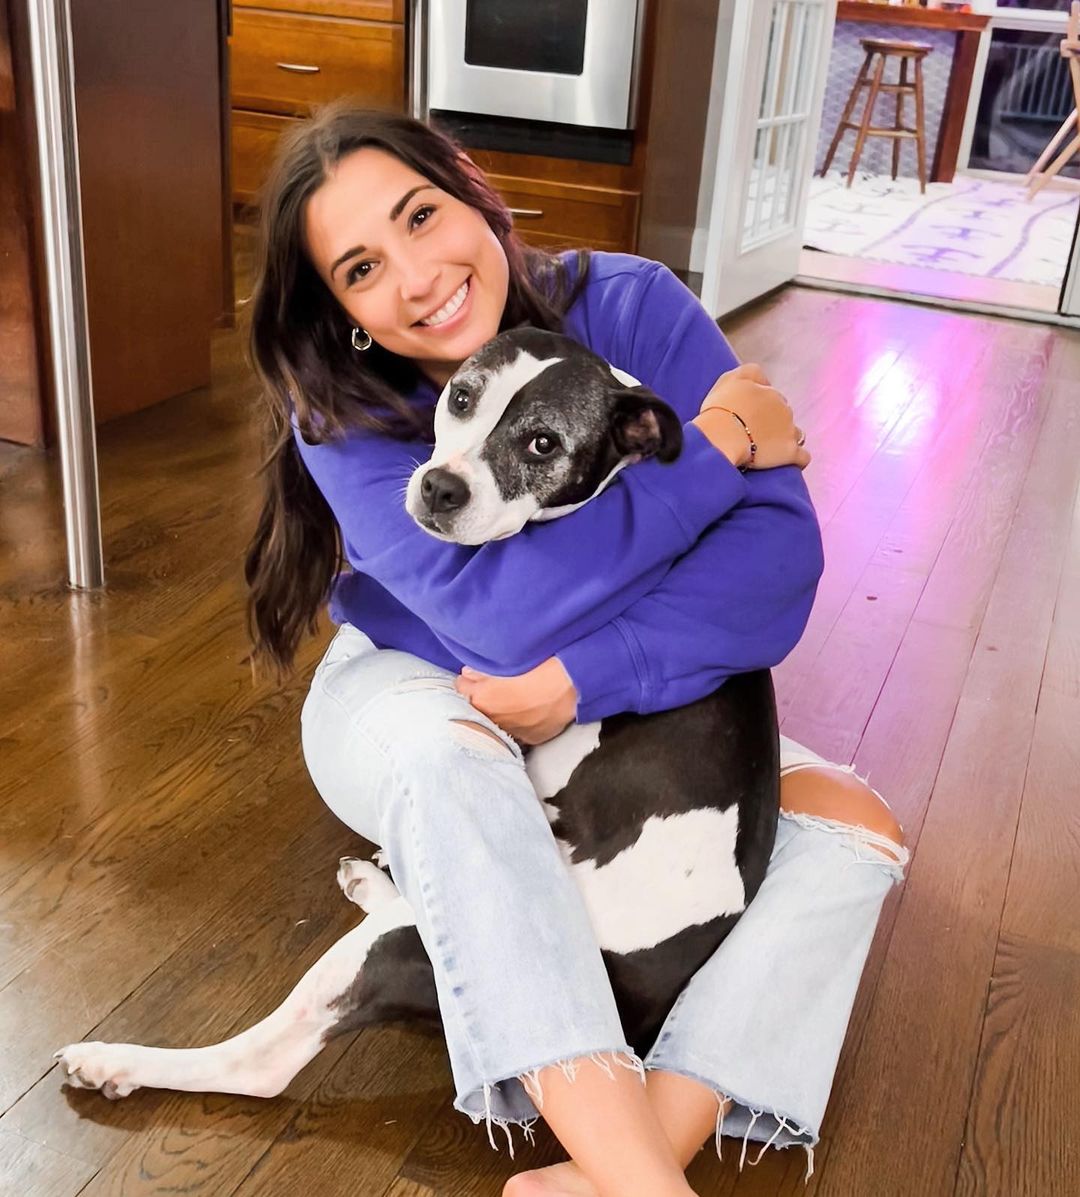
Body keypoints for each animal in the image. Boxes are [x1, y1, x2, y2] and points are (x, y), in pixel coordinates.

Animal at [55, 327, 775, 1101]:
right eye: (461, 397)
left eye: (543, 443)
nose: (440, 486)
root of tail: (632, 1009)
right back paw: (373, 882)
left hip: (388, 955)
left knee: (263, 1062)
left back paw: (117, 1060)